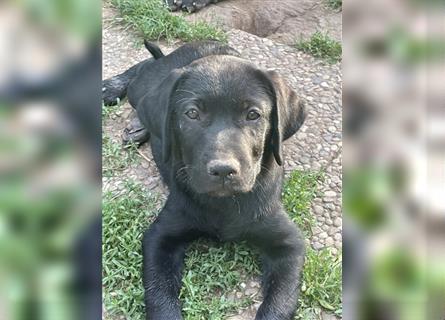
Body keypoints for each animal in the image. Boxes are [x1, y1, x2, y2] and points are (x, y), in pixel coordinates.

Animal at [103, 41, 306, 318]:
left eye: (253, 115)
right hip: (142, 87)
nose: (223, 170)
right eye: (192, 113)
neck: (224, 203)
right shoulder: (160, 236)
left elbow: (280, 303)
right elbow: (160, 296)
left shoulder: (288, 243)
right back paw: (112, 89)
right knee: (143, 70)